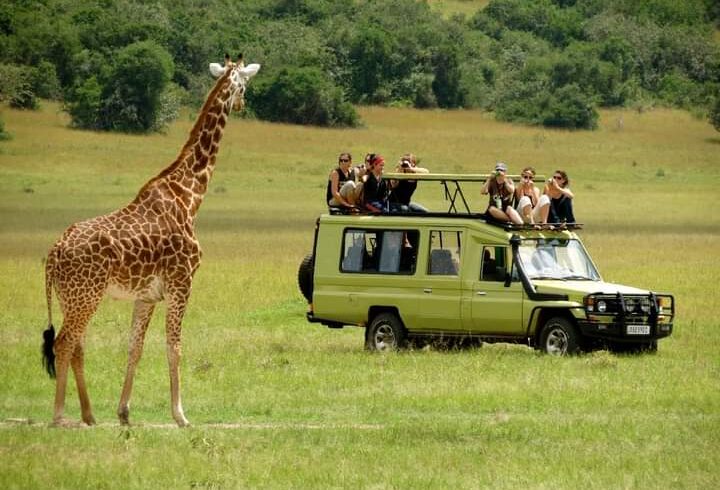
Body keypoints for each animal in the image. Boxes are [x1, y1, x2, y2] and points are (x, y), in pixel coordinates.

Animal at [41, 54, 260, 427]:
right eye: (244, 85)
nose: (243, 103)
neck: (190, 195)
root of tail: (54, 252)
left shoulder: (146, 296)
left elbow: (135, 347)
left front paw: (124, 413)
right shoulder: (181, 283)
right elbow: (174, 346)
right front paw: (181, 416)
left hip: (71, 296)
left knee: (77, 345)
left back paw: (89, 414)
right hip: (86, 295)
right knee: (64, 342)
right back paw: (58, 416)